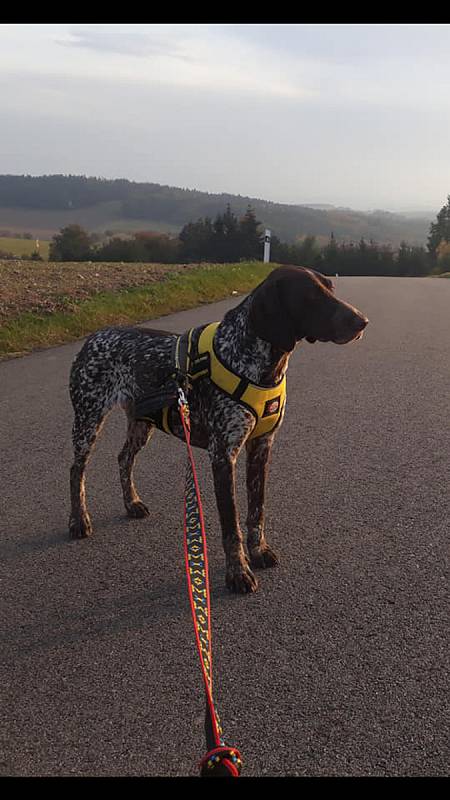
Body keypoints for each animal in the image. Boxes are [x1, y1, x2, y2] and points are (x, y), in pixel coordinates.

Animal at [68, 268, 368, 592]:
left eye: (331, 288)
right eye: (310, 295)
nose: (362, 321)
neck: (257, 364)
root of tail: (94, 336)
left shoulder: (261, 447)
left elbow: (256, 511)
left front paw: (258, 551)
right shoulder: (223, 455)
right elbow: (231, 524)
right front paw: (238, 572)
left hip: (141, 423)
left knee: (124, 458)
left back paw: (131, 503)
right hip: (88, 420)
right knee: (76, 471)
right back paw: (78, 521)